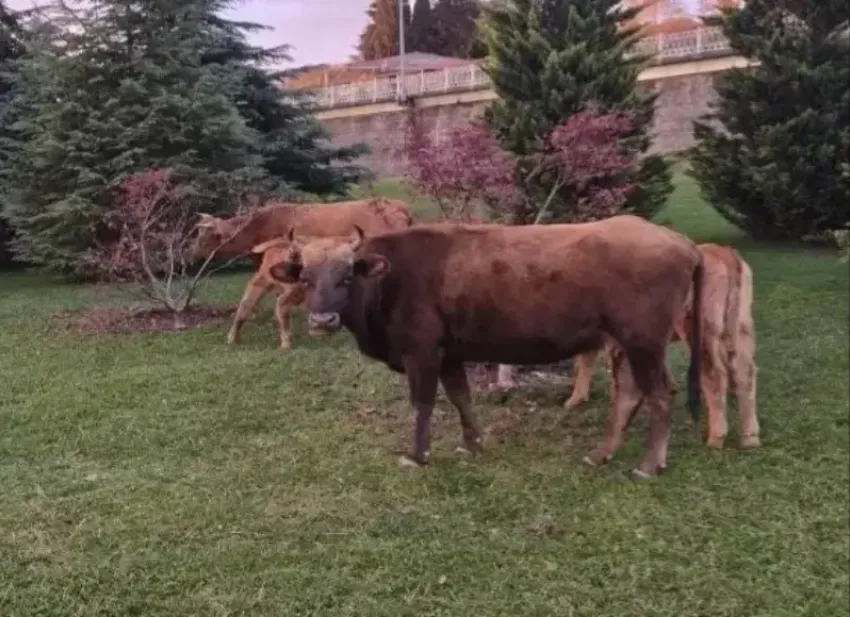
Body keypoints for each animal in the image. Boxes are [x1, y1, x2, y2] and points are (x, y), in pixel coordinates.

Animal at [267, 216, 705, 478]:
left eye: (346, 277)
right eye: (305, 278)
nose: (322, 321)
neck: (390, 279)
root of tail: (683, 242)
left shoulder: (422, 352)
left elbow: (423, 405)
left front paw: (417, 455)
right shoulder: (450, 353)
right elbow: (461, 397)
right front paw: (472, 444)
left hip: (643, 341)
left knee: (660, 395)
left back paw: (649, 464)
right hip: (628, 344)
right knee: (631, 393)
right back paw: (602, 454)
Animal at [564, 243, 760, 451]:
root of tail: (724, 252)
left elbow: (589, 360)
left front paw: (575, 399)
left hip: (700, 329)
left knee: (714, 374)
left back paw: (716, 437)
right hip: (741, 327)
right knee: (745, 371)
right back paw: (750, 437)